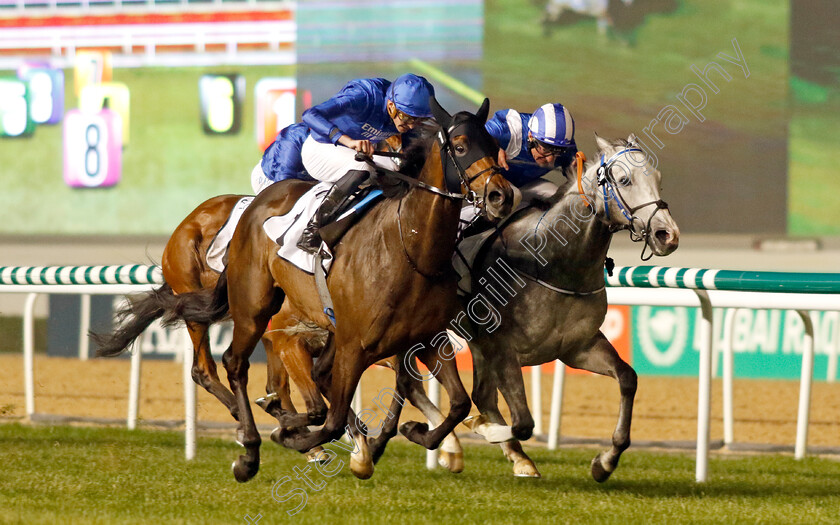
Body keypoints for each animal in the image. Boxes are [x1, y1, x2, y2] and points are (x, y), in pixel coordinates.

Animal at [92, 96, 512, 482]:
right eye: (460, 146)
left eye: (494, 146)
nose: (501, 195)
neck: (411, 248)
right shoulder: (339, 343)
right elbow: (330, 414)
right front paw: (305, 439)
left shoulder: (424, 338)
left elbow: (456, 402)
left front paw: (420, 435)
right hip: (249, 307)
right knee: (223, 366)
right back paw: (250, 449)